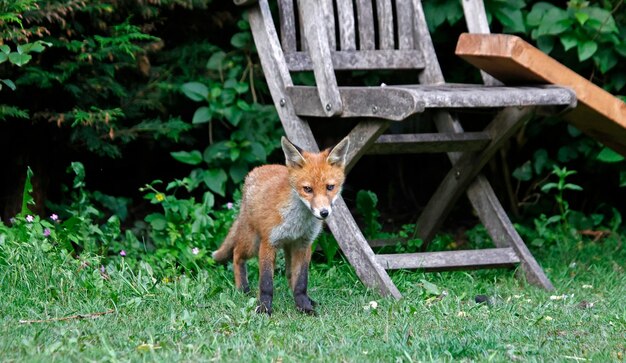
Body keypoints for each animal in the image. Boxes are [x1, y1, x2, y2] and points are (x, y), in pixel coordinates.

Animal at [212, 136, 348, 316]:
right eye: (307, 189)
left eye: (330, 187)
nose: (324, 213)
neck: (297, 222)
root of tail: (256, 170)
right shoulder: (269, 243)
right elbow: (266, 283)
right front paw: (264, 308)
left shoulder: (304, 244)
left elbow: (301, 281)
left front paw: (304, 306)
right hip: (252, 243)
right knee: (236, 254)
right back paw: (243, 289)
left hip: (290, 248)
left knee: (290, 275)